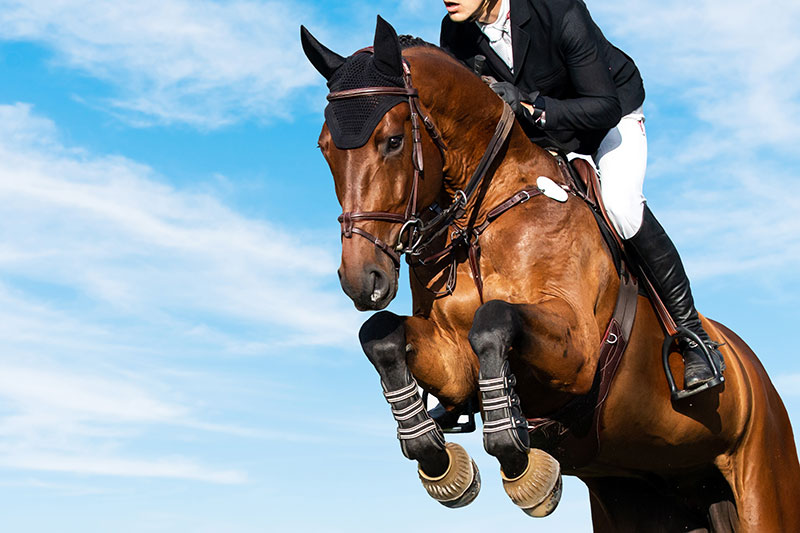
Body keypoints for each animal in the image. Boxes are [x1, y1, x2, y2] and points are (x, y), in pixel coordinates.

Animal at [301, 16, 800, 532]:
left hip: (763, 481)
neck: (481, 217)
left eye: (393, 140)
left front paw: (521, 465)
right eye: (324, 149)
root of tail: (755, 372)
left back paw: (700, 361)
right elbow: (380, 334)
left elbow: (494, 321)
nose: (362, 279)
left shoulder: (579, 350)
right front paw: (435, 455)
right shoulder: (453, 361)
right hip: (638, 494)